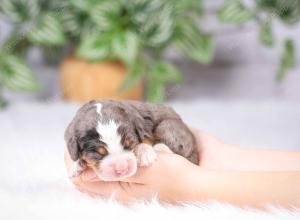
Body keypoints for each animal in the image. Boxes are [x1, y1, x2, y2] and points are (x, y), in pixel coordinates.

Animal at [64, 99, 198, 180]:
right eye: (99, 152)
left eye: (129, 144)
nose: (122, 169)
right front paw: (76, 165)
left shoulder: (145, 125)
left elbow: (145, 139)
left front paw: (144, 153)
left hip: (169, 126)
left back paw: (160, 147)